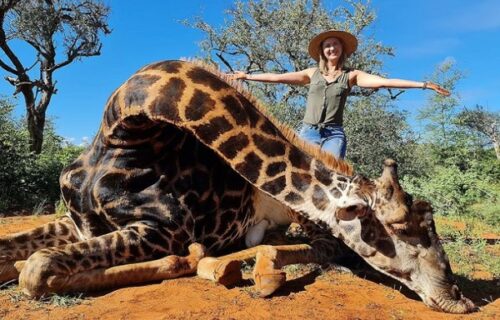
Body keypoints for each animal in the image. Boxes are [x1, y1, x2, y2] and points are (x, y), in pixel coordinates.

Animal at [0, 60, 474, 312]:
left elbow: (36, 269)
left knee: (324, 247)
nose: (459, 299)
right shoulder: (76, 220)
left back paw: (245, 268)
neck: (124, 132)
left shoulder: (163, 231)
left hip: (301, 220)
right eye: (405, 230)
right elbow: (22, 255)